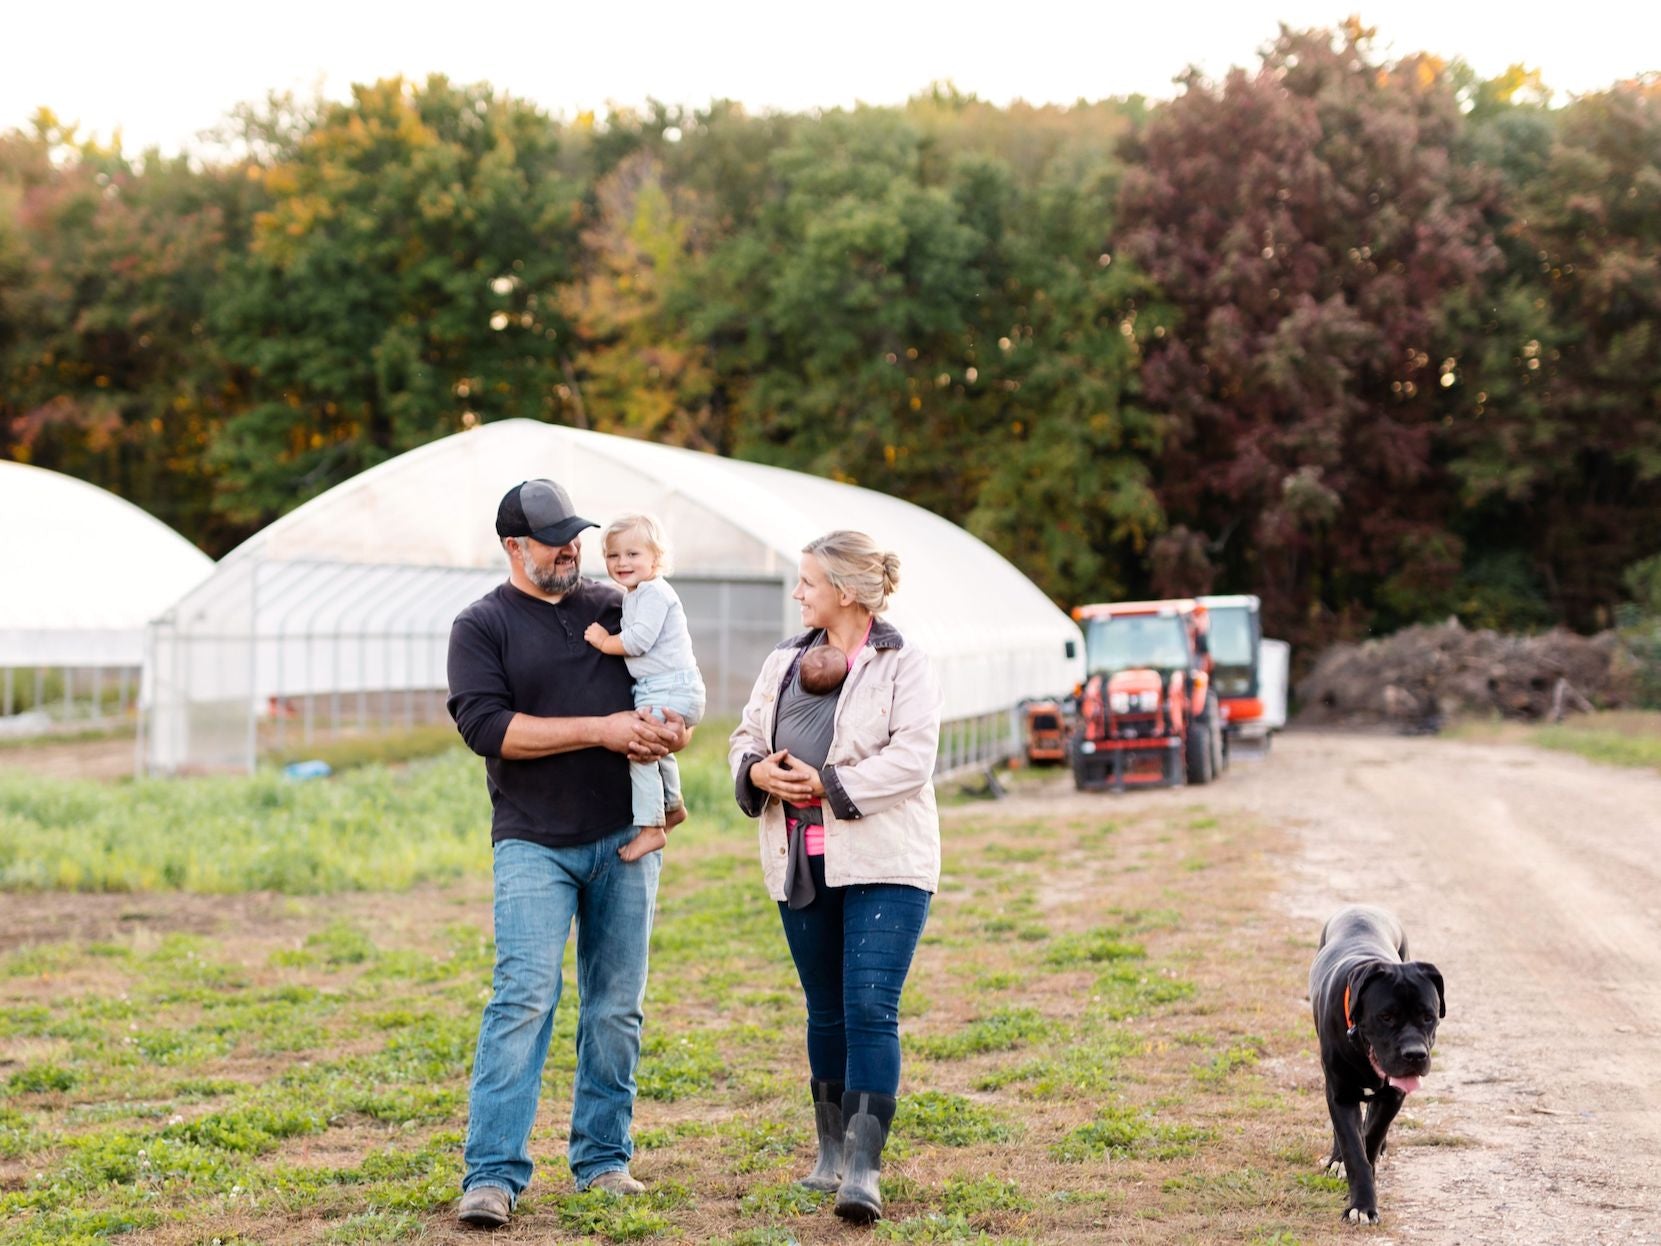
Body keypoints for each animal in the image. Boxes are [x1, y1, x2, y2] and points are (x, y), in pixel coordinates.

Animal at [1308, 910, 1441, 1229]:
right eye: (1386, 1017)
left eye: (1429, 1016)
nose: (1415, 1054)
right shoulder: (1340, 1092)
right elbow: (1353, 1149)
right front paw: (1361, 1206)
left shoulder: (1393, 1095)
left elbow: (1370, 1139)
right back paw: (1336, 1160)